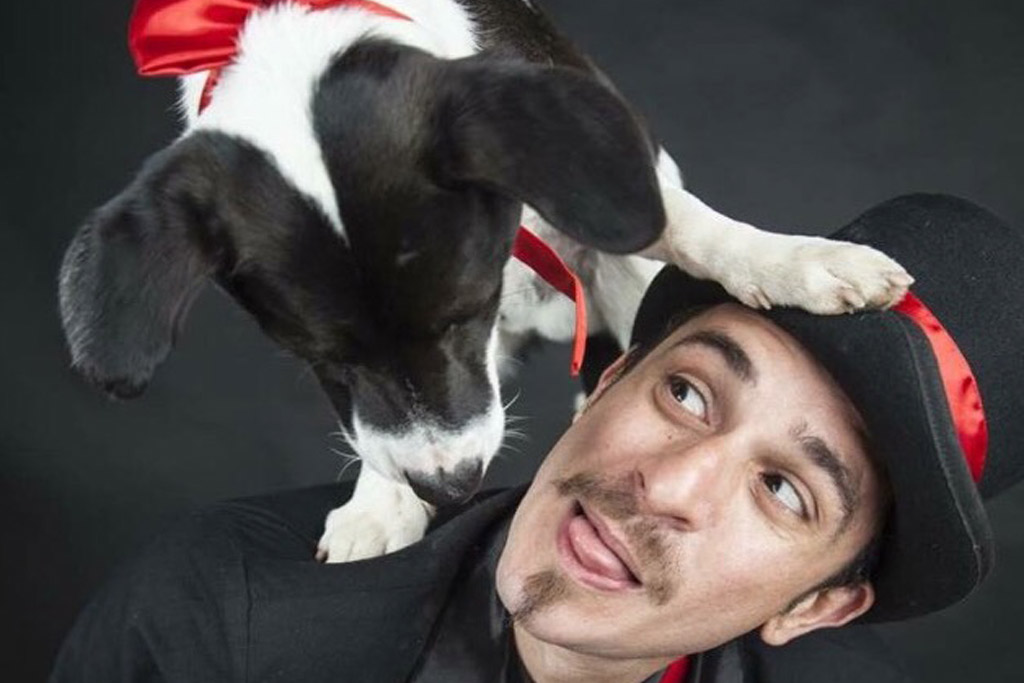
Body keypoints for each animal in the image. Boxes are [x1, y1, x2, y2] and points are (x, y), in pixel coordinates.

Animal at [58, 0, 911, 563]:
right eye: (324, 362)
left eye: (465, 315)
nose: (452, 486)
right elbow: (376, 428)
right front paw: (382, 500)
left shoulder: (605, 173)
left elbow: (684, 227)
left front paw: (796, 262)